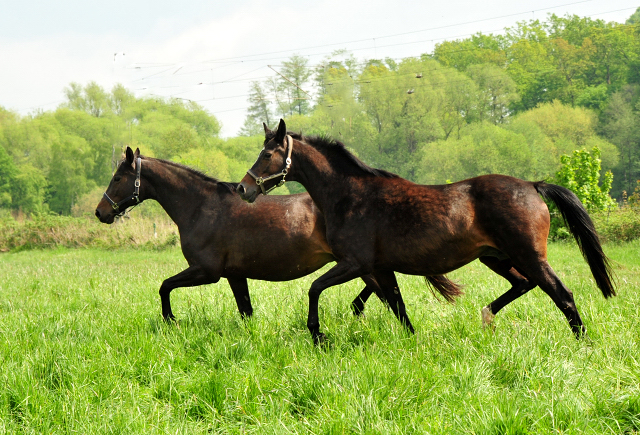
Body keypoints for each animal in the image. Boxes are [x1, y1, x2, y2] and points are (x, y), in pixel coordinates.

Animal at [239, 121, 616, 346]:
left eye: (268, 154)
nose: (244, 189)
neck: (350, 195)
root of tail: (533, 185)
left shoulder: (354, 263)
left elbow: (315, 289)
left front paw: (318, 335)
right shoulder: (379, 268)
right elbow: (397, 306)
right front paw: (412, 342)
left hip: (529, 255)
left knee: (561, 294)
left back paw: (582, 343)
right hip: (495, 257)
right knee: (524, 284)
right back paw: (486, 318)